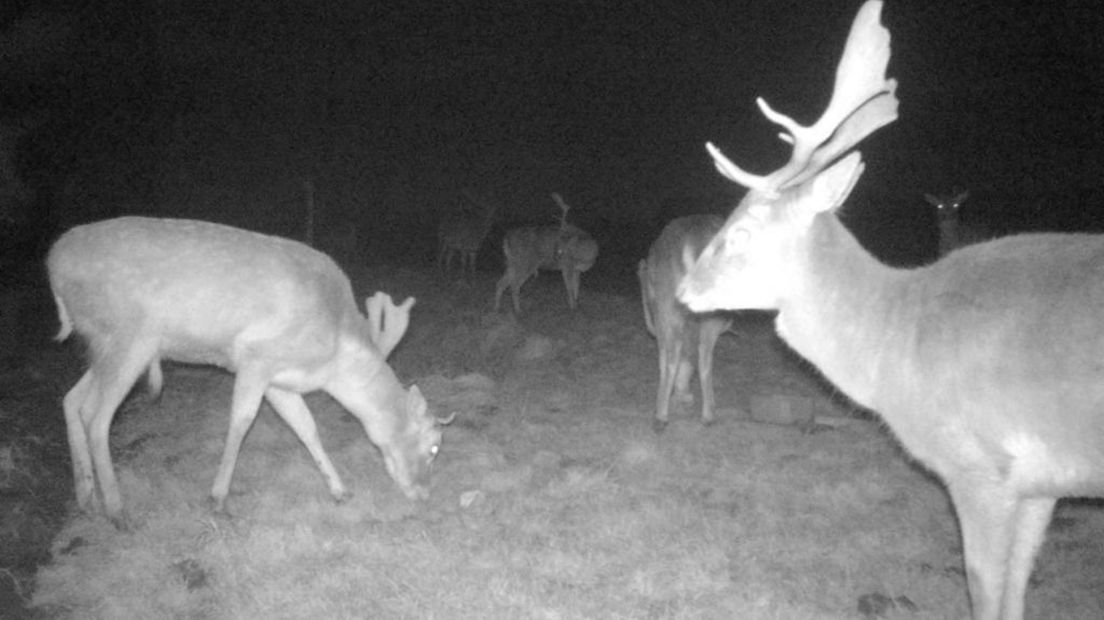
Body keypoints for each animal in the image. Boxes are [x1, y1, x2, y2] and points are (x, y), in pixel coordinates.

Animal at [47, 216, 452, 525]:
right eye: (434, 446)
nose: (424, 493)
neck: (332, 356)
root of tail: (52, 265)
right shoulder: (256, 357)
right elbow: (241, 421)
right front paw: (218, 498)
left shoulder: (281, 381)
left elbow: (307, 428)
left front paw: (340, 491)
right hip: (130, 335)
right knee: (96, 415)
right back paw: (116, 510)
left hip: (103, 343)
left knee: (71, 400)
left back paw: (86, 496)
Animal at [640, 215, 733, 432]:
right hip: (707, 316)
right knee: (702, 361)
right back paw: (706, 415)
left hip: (671, 309)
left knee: (678, 360)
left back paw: (662, 417)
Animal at [671, 2, 1104, 613]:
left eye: (743, 230)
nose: (686, 289)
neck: (895, 339)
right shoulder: (1040, 484)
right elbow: (1019, 587)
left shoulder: (980, 464)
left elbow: (984, 585)